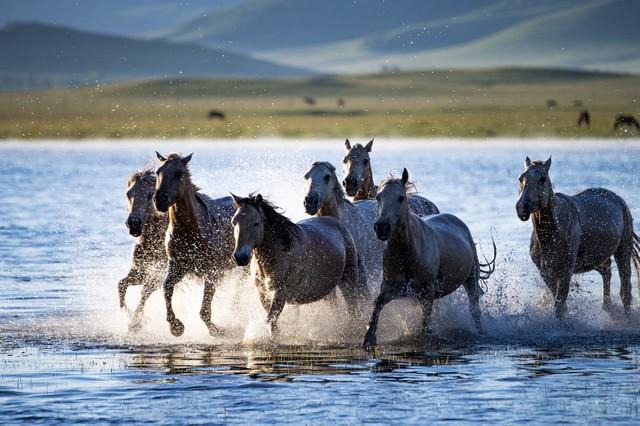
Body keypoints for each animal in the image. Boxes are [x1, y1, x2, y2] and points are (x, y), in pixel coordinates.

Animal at [117, 168, 168, 328]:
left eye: (150, 194)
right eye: (128, 193)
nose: (134, 223)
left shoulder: (161, 273)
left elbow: (145, 291)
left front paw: (136, 321)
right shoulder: (140, 270)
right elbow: (122, 284)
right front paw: (128, 314)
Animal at [154, 152, 236, 336]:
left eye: (179, 173)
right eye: (158, 171)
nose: (159, 199)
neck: (190, 233)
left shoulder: (212, 271)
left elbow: (205, 309)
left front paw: (217, 330)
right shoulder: (178, 267)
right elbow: (166, 288)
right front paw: (176, 326)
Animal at [362, 168, 492, 348]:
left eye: (401, 197)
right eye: (378, 197)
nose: (381, 227)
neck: (407, 253)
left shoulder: (427, 292)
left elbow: (424, 325)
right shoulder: (391, 288)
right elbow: (377, 304)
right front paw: (369, 337)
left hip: (471, 279)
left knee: (474, 310)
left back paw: (479, 332)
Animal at [516, 156, 640, 316]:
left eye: (542, 179)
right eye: (521, 178)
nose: (522, 207)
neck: (552, 234)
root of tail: (619, 199)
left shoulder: (566, 270)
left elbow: (559, 303)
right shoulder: (546, 273)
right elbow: (559, 301)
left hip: (623, 250)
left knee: (625, 289)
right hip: (595, 258)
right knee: (607, 271)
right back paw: (607, 306)